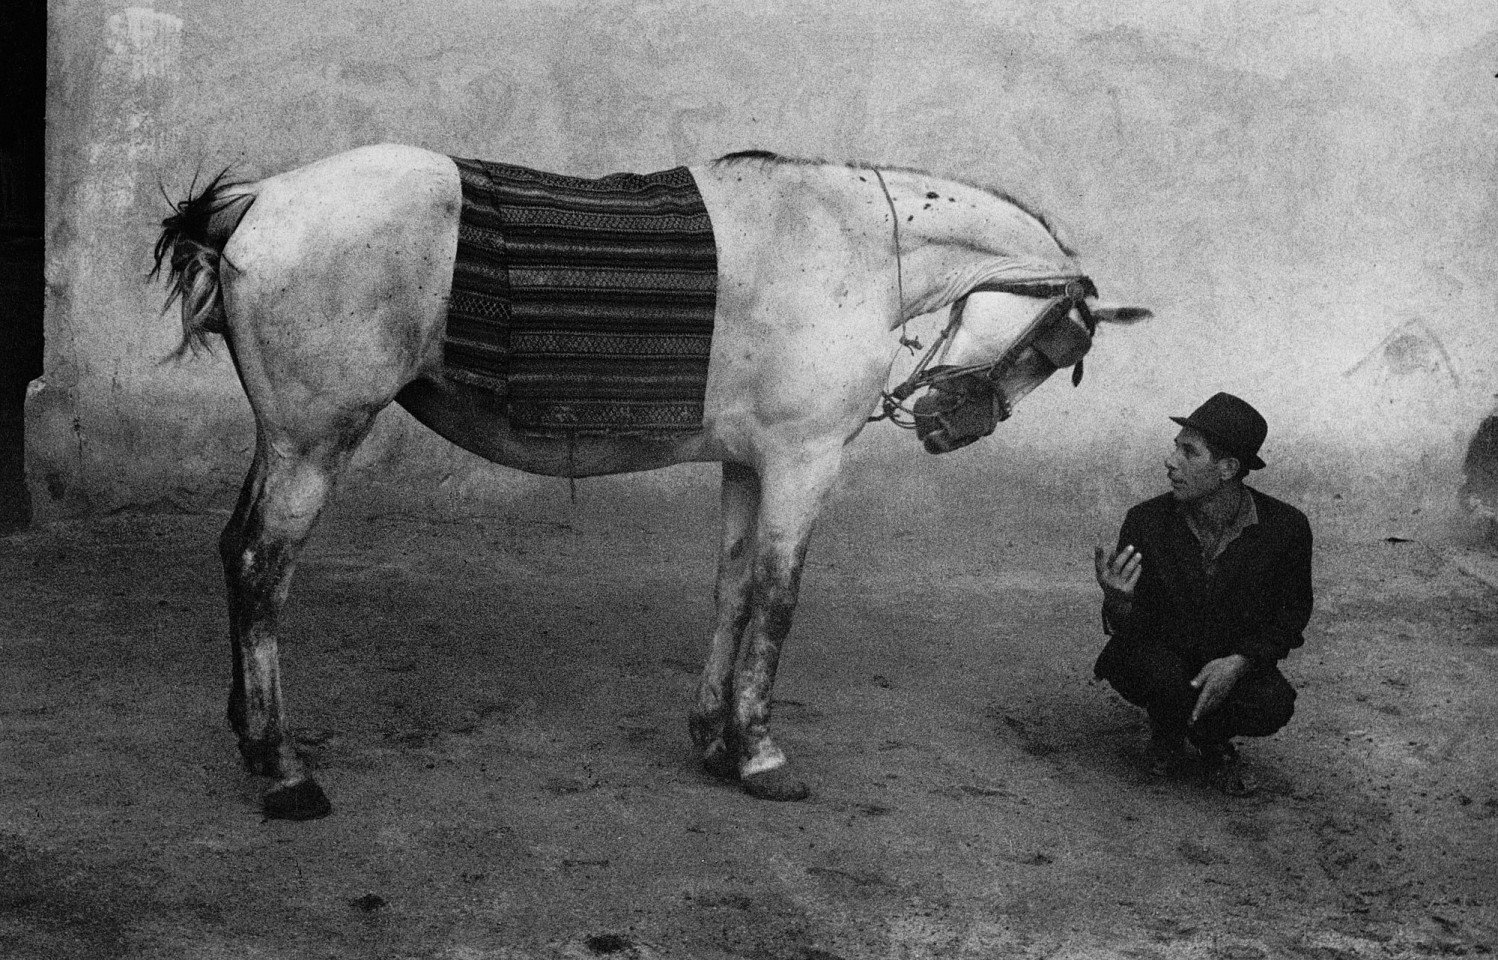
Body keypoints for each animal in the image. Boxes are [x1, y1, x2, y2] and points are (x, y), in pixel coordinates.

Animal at [155, 142, 1144, 814]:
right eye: (1057, 347)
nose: (951, 427)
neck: (849, 244)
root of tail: (258, 200)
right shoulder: (801, 463)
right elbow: (777, 601)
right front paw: (759, 755)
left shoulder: (748, 463)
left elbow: (733, 591)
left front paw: (714, 739)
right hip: (315, 441)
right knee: (263, 570)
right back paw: (284, 768)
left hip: (282, 439)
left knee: (234, 552)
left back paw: (252, 735)